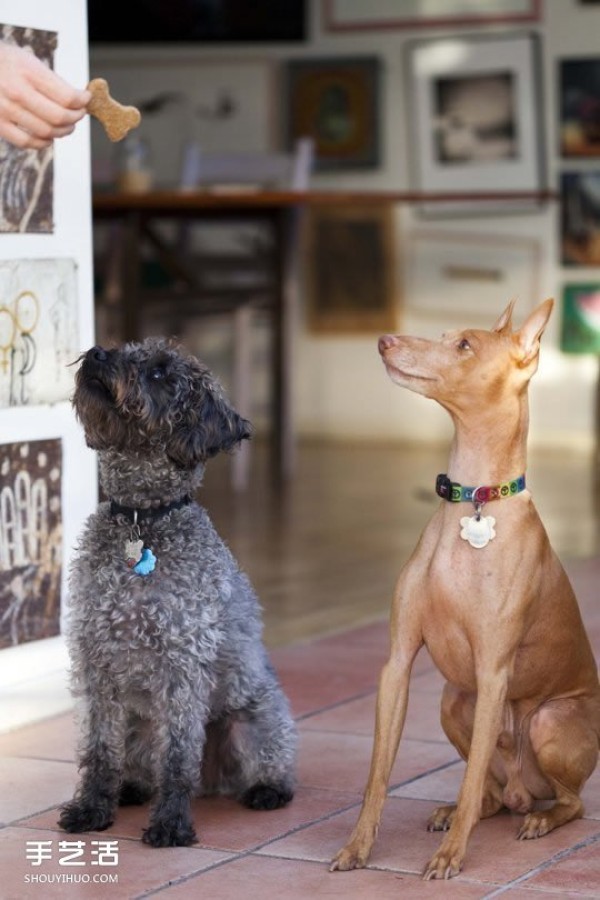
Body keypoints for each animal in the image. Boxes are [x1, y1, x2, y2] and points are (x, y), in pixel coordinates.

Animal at [57, 336, 296, 844]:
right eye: (127, 350)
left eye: (161, 373)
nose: (97, 353)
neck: (142, 520)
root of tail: (212, 782)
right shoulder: (94, 664)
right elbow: (98, 750)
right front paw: (91, 808)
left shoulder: (182, 667)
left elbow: (177, 756)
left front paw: (170, 822)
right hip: (136, 725)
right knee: (134, 763)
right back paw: (129, 788)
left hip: (256, 720)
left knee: (267, 764)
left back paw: (266, 790)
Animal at [330, 302, 600, 880]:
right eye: (444, 335)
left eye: (464, 347)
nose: (384, 341)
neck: (472, 499)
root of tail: (526, 791)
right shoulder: (398, 663)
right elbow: (377, 777)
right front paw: (357, 847)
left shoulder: (493, 672)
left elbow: (472, 775)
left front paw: (452, 856)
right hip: (454, 701)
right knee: (495, 797)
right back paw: (458, 811)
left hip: (547, 720)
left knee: (568, 801)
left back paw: (538, 820)